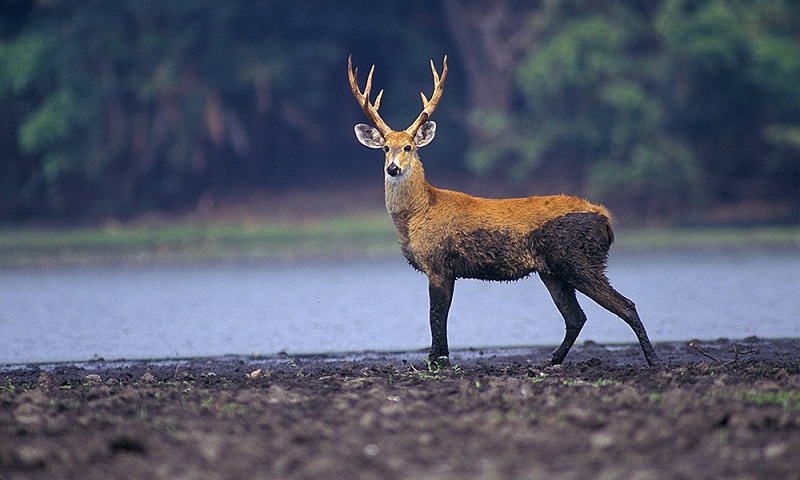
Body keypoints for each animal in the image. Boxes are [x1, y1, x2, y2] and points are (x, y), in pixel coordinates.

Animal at [346, 55, 660, 368]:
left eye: (409, 147)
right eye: (385, 148)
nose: (393, 168)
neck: (419, 212)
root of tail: (605, 220)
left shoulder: (439, 263)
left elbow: (436, 318)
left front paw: (437, 361)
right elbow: (439, 318)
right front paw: (438, 359)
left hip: (580, 261)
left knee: (625, 305)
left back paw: (653, 361)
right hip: (553, 271)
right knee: (576, 317)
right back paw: (549, 361)